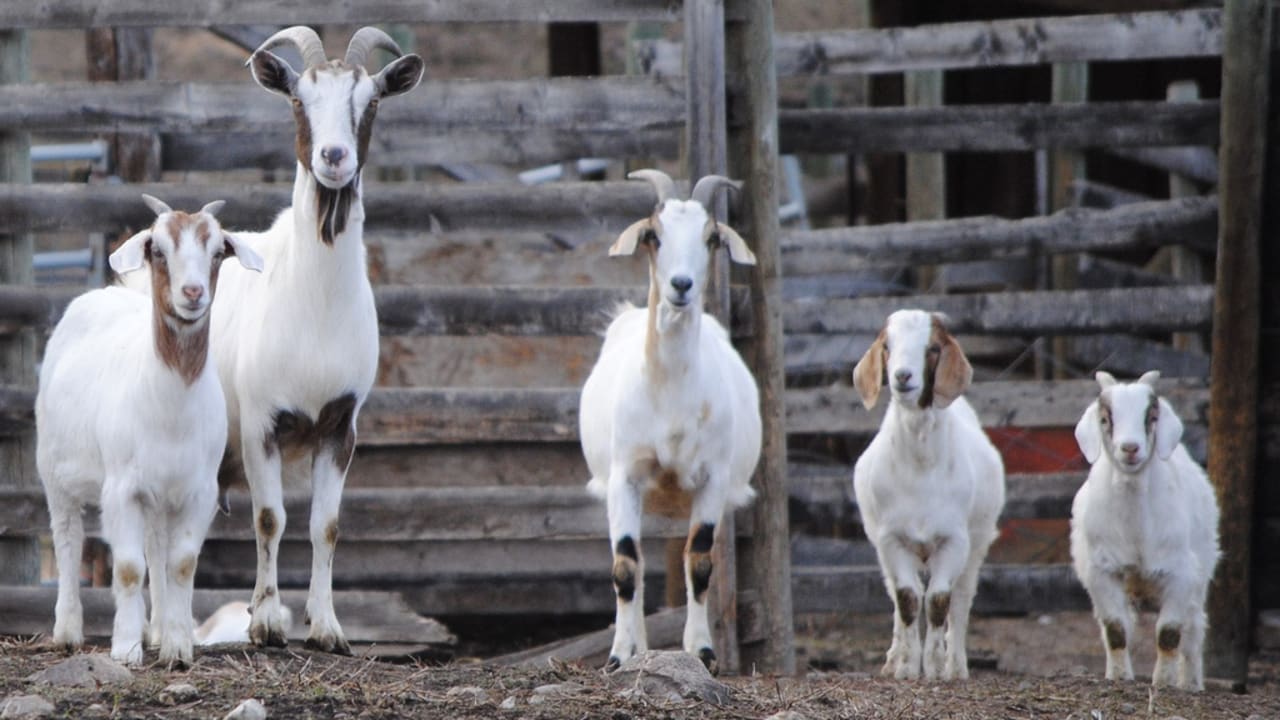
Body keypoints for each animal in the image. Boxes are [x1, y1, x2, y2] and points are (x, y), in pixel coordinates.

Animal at [37, 195, 263, 667]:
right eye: (158, 250)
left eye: (218, 252)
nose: (192, 293)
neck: (171, 403)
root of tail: (103, 293)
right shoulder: (122, 488)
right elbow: (126, 567)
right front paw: (125, 649)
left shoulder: (199, 491)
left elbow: (180, 563)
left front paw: (178, 647)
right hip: (53, 468)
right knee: (67, 537)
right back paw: (67, 632)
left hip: (160, 495)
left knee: (156, 549)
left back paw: (157, 629)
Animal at [578, 169, 761, 674]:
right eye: (653, 236)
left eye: (712, 237)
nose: (681, 285)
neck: (669, 395)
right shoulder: (624, 476)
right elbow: (625, 566)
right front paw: (619, 655)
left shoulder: (712, 479)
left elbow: (699, 563)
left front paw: (703, 652)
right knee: (637, 565)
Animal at [851, 309, 1005, 680]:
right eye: (887, 346)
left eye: (933, 348)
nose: (902, 376)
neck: (921, 468)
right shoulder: (891, 539)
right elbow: (907, 598)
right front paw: (907, 667)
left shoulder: (954, 540)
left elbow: (938, 600)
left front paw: (934, 667)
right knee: (895, 594)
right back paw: (893, 660)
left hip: (977, 544)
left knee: (962, 600)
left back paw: (957, 666)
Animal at [1070, 370, 1220, 691]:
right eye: (1105, 419)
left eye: (1151, 417)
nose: (1130, 448)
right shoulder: (1102, 572)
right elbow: (1115, 629)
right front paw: (1118, 676)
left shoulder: (1180, 574)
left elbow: (1169, 633)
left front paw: (1163, 681)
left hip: (1201, 572)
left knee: (1194, 629)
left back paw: (1191, 683)